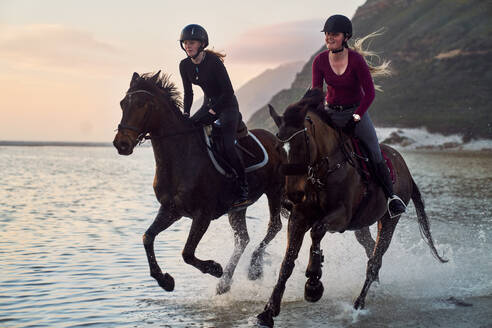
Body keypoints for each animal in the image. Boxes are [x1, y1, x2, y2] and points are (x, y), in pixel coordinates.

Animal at [112, 72, 288, 294]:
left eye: (142, 104)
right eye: (122, 103)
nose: (121, 144)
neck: (181, 155)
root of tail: (276, 140)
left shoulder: (202, 214)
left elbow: (187, 253)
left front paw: (214, 268)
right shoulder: (170, 210)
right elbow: (147, 238)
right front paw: (165, 280)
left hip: (274, 190)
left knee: (274, 226)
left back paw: (253, 268)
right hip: (238, 208)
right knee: (243, 239)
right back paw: (225, 282)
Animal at [256, 88, 448, 326]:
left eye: (303, 142)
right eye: (278, 148)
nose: (291, 197)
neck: (324, 171)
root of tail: (405, 169)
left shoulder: (341, 216)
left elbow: (317, 231)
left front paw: (313, 283)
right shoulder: (299, 217)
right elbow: (288, 261)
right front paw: (268, 311)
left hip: (389, 220)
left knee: (375, 260)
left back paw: (359, 304)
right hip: (361, 225)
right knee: (370, 250)